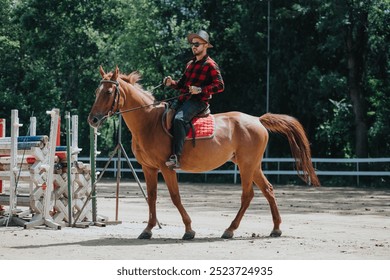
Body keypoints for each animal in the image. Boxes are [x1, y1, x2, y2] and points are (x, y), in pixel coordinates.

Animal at [88, 66, 320, 241]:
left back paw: (230, 230)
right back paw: (276, 228)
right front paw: (148, 229)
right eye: (96, 92)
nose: (93, 119)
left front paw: (189, 229)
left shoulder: (166, 167)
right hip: (252, 165)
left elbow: (175, 197)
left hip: (246, 166)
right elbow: (152, 197)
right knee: (268, 190)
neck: (149, 122)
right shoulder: (149, 168)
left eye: (108, 92)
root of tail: (257, 119)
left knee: (248, 195)